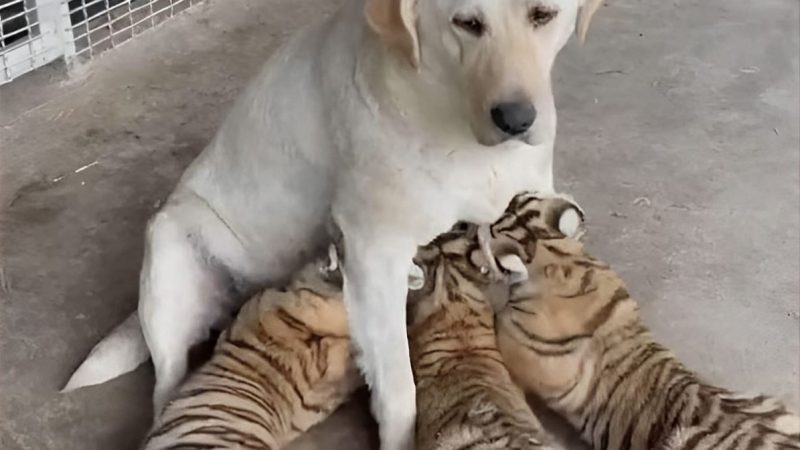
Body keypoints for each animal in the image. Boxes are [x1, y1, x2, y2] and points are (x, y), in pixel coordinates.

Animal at [65, 0, 604, 446]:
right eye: (467, 24)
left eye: (543, 15)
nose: (516, 119)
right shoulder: (373, 255)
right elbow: (398, 388)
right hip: (167, 252)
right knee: (165, 390)